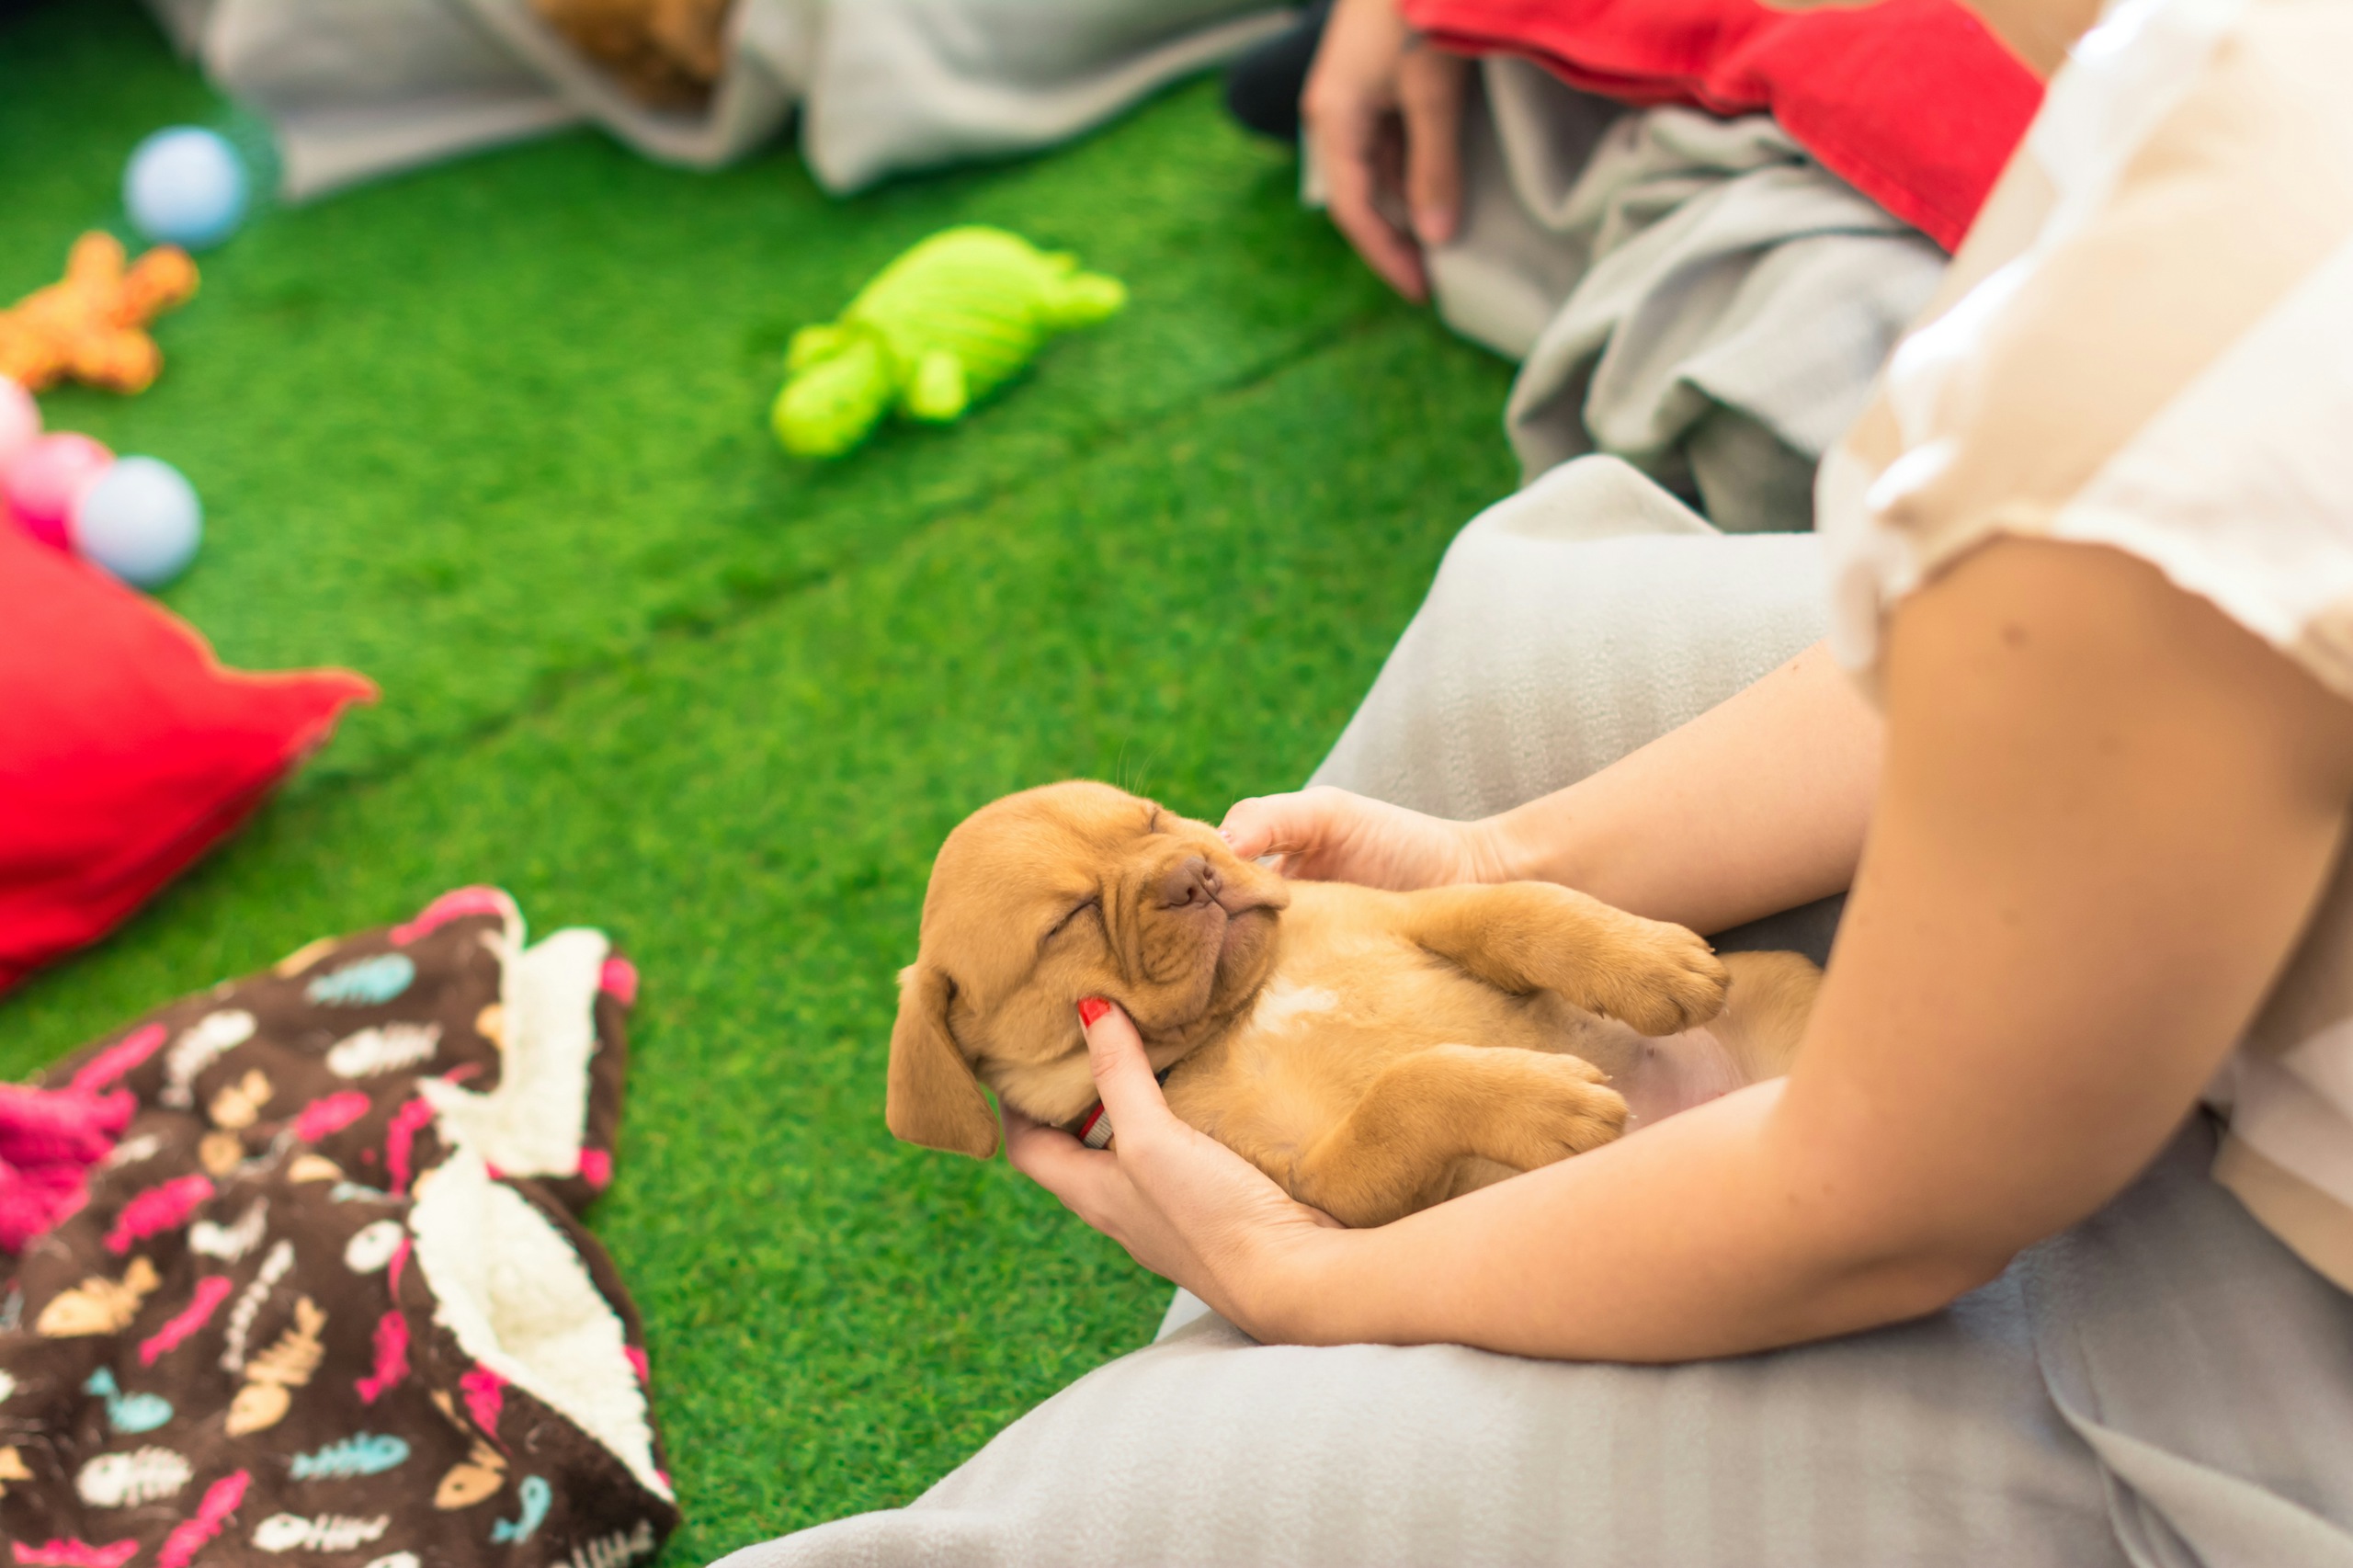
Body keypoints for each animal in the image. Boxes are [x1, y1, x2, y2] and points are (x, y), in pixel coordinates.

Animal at [884, 781, 1816, 1224]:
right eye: (1068, 921)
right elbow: (1402, 1095)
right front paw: (1543, 1100)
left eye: (1153, 819)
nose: (1194, 875)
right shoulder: (1322, 1180)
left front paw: (1648, 960)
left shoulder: (1416, 911)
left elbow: (1521, 909)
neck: (1245, 1011)